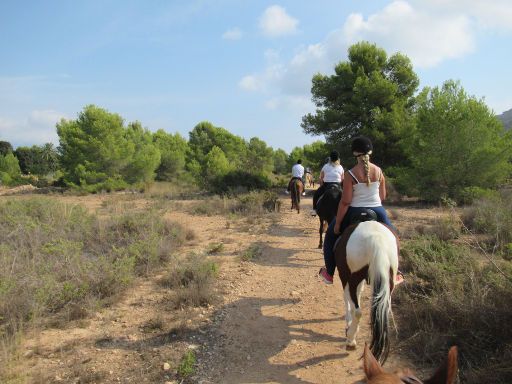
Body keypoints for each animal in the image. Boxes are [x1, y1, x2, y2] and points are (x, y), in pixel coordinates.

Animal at [334, 219, 402, 364]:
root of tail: (377, 239)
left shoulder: (345, 277)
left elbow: (348, 299)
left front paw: (348, 324)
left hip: (352, 277)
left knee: (358, 311)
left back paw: (351, 340)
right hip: (388, 281)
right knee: (383, 310)